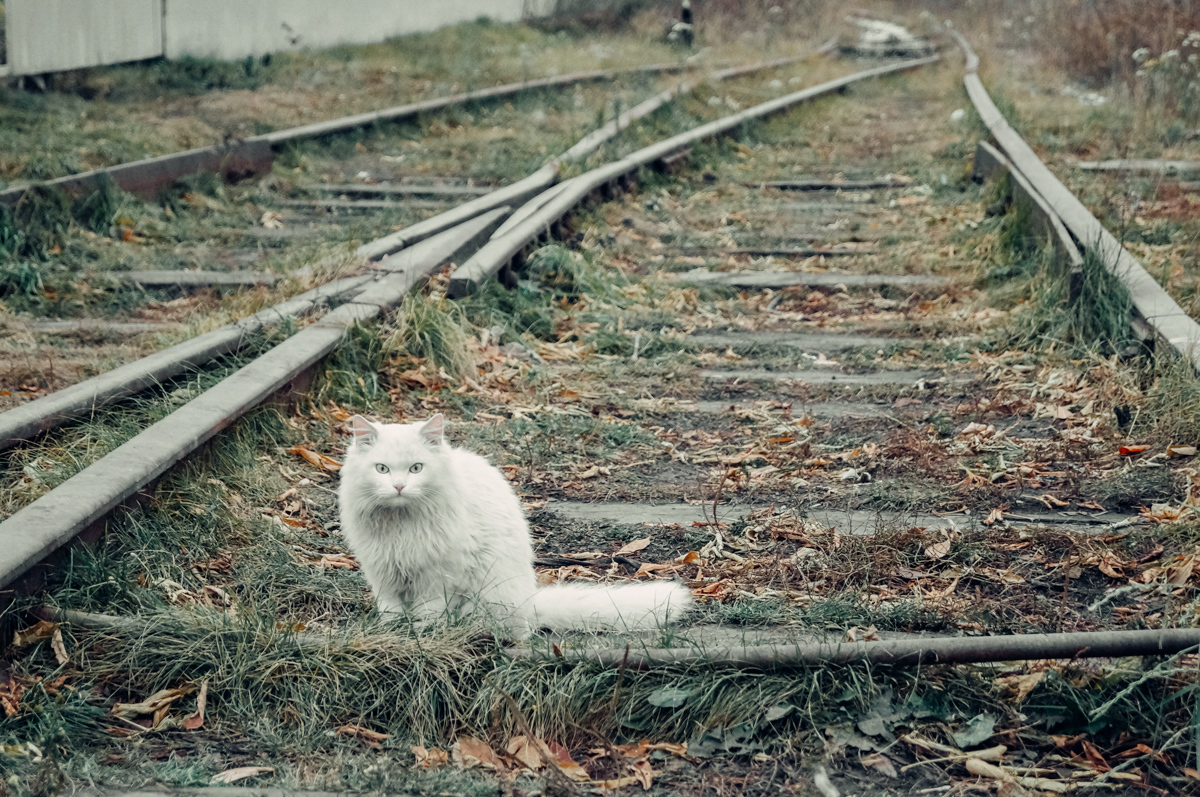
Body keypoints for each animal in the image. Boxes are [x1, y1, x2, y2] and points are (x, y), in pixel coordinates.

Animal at [338, 412, 696, 638]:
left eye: (416, 468)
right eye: (382, 469)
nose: (399, 486)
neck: (401, 526)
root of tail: (530, 602)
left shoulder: (438, 578)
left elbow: (429, 613)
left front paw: (422, 634)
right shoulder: (383, 573)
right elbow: (391, 611)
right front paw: (393, 631)